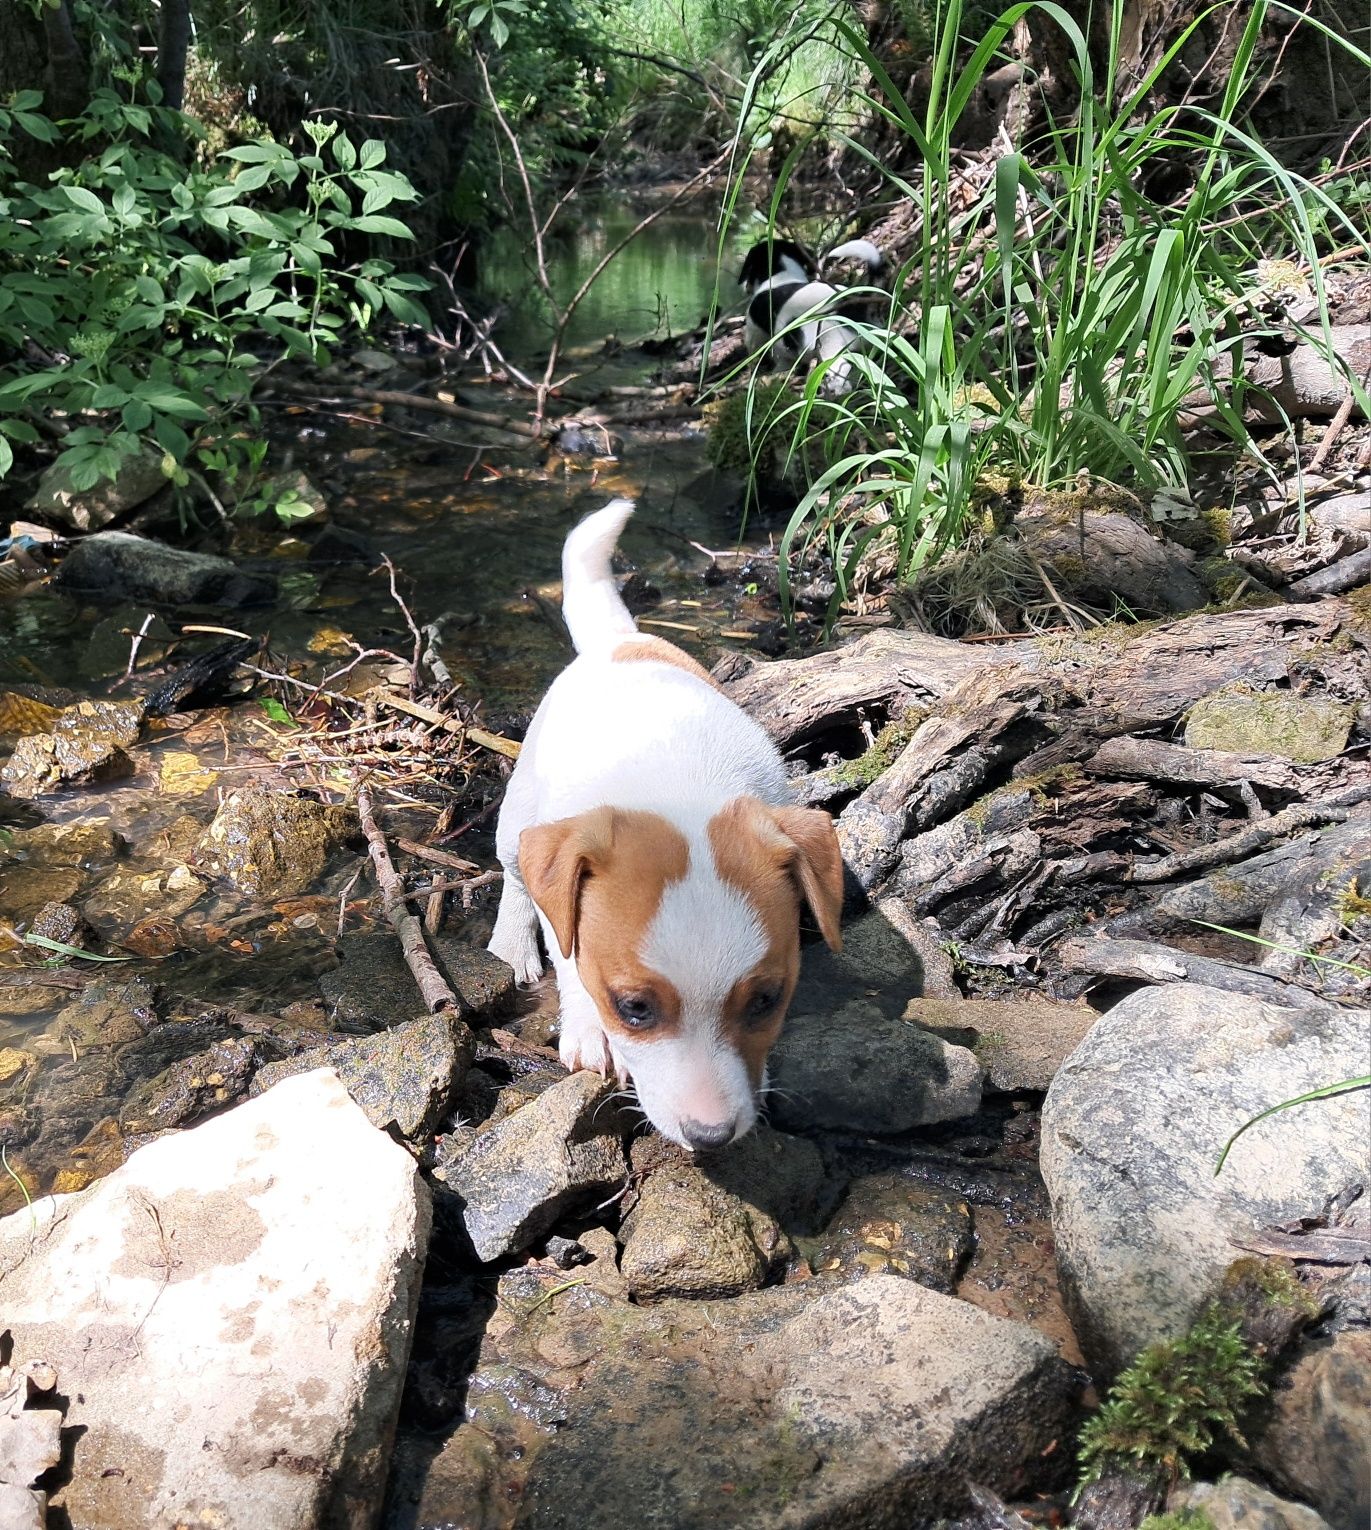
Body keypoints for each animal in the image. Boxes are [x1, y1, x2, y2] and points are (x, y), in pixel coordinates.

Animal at [486, 495, 838, 1150]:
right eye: (634, 1008)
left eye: (766, 1001)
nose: (712, 1135)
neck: (677, 790)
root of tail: (619, 641)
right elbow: (569, 957)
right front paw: (589, 1030)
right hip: (515, 817)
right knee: (516, 876)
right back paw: (510, 943)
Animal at [740, 235, 887, 394]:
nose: (746, 289)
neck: (781, 275)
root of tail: (852, 303)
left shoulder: (758, 336)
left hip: (828, 344)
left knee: (841, 370)